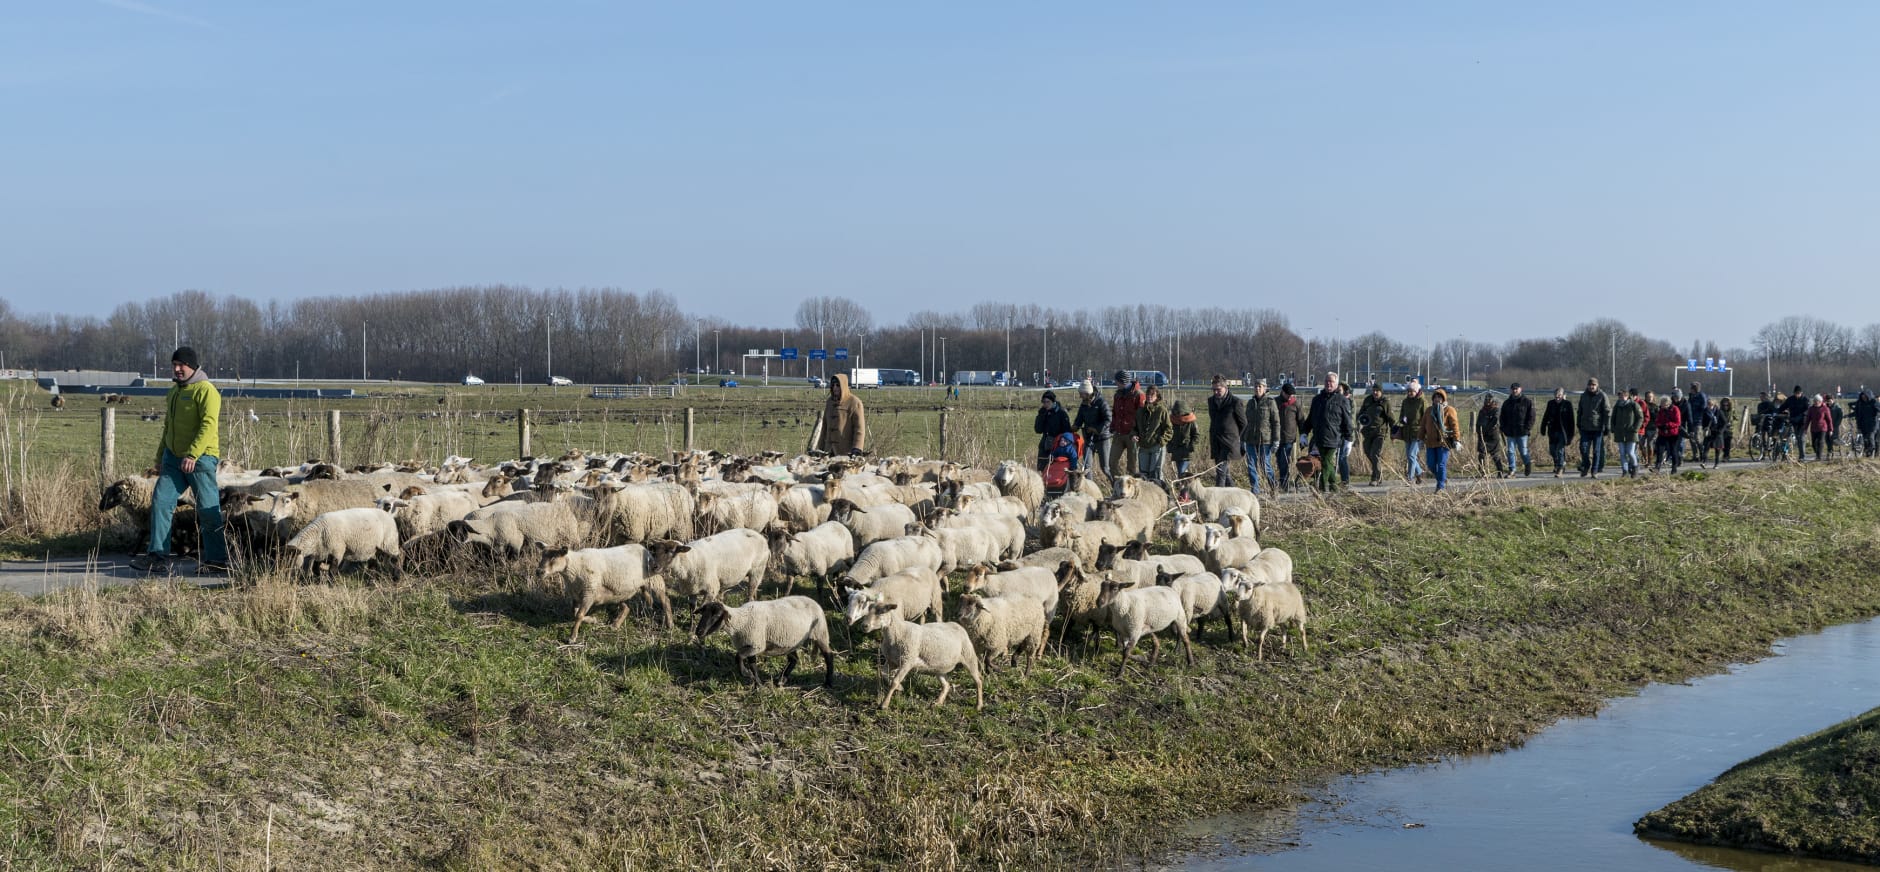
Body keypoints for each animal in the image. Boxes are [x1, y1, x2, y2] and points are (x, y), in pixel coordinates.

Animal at [541, 541, 673, 635]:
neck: (576, 566)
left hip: (653, 579)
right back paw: (615, 625)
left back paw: (670, 624)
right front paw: (592, 620)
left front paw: (572, 637)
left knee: (665, 600)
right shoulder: (577, 594)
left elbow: (578, 615)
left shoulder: (589, 593)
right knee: (627, 607)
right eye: (542, 556)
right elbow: (575, 613)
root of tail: (643, 548)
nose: (539, 571)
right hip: (619, 590)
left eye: (554, 558)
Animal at [695, 601, 834, 687]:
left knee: (829, 655)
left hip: (820, 632)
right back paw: (782, 680)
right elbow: (752, 665)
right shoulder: (750, 643)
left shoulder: (757, 644)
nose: (698, 631)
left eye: (717, 615)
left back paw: (828, 683)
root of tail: (814, 601)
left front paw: (745, 674)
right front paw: (758, 684)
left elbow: (738, 657)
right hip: (791, 641)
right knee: (794, 659)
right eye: (703, 613)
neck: (740, 621)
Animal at [861, 601, 992, 710]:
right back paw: (938, 703)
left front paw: (884, 704)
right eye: (868, 610)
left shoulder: (907, 661)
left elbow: (895, 681)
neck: (897, 632)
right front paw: (900, 688)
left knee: (978, 680)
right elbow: (882, 672)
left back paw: (978, 705)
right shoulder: (892, 661)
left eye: (882, 611)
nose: (864, 626)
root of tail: (956, 624)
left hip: (968, 656)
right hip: (939, 667)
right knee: (946, 685)